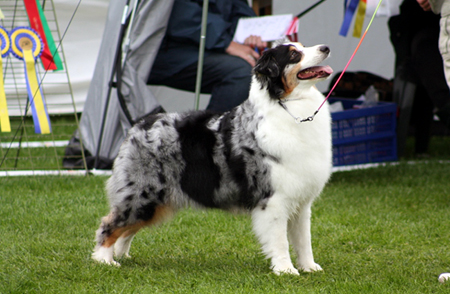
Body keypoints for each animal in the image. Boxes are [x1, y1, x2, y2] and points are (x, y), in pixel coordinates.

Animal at [91, 42, 332, 276]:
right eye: (293, 55)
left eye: (302, 46)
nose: (325, 48)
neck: (287, 104)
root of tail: (139, 125)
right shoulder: (273, 199)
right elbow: (280, 241)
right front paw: (285, 270)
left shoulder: (301, 201)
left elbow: (303, 240)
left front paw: (309, 267)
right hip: (143, 194)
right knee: (110, 224)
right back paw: (104, 261)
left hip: (155, 203)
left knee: (127, 230)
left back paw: (122, 256)